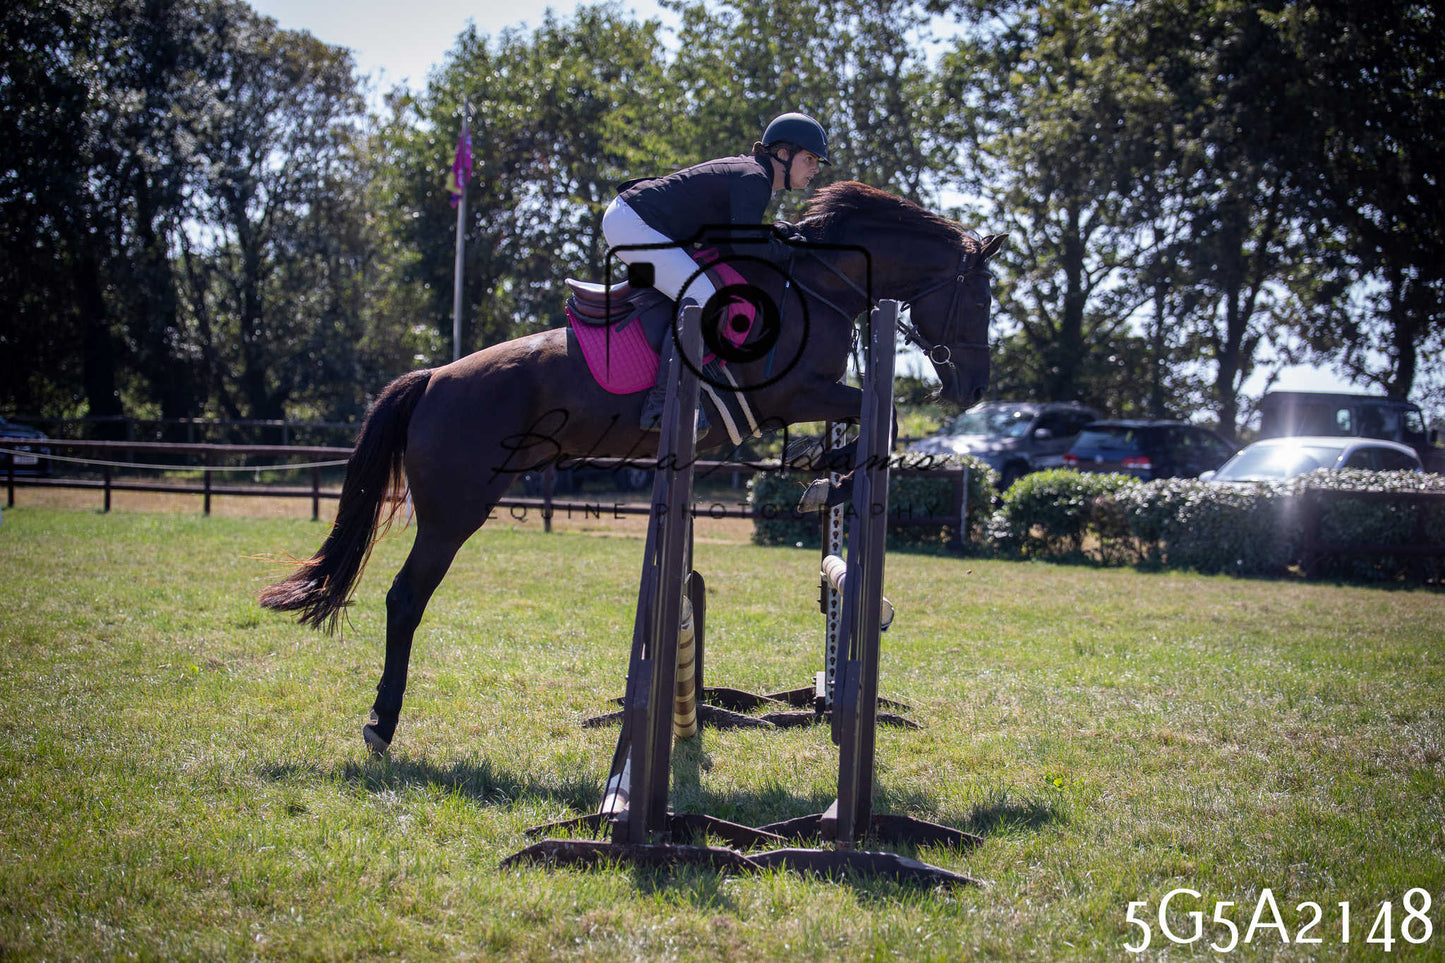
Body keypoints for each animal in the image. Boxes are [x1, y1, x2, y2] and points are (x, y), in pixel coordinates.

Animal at [259, 180, 1003, 755]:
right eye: (980, 300)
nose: (972, 389)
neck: (817, 284)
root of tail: (434, 376)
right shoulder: (792, 393)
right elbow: (883, 419)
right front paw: (832, 478)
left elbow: (871, 423)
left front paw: (828, 475)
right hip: (454, 511)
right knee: (404, 599)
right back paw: (381, 723)